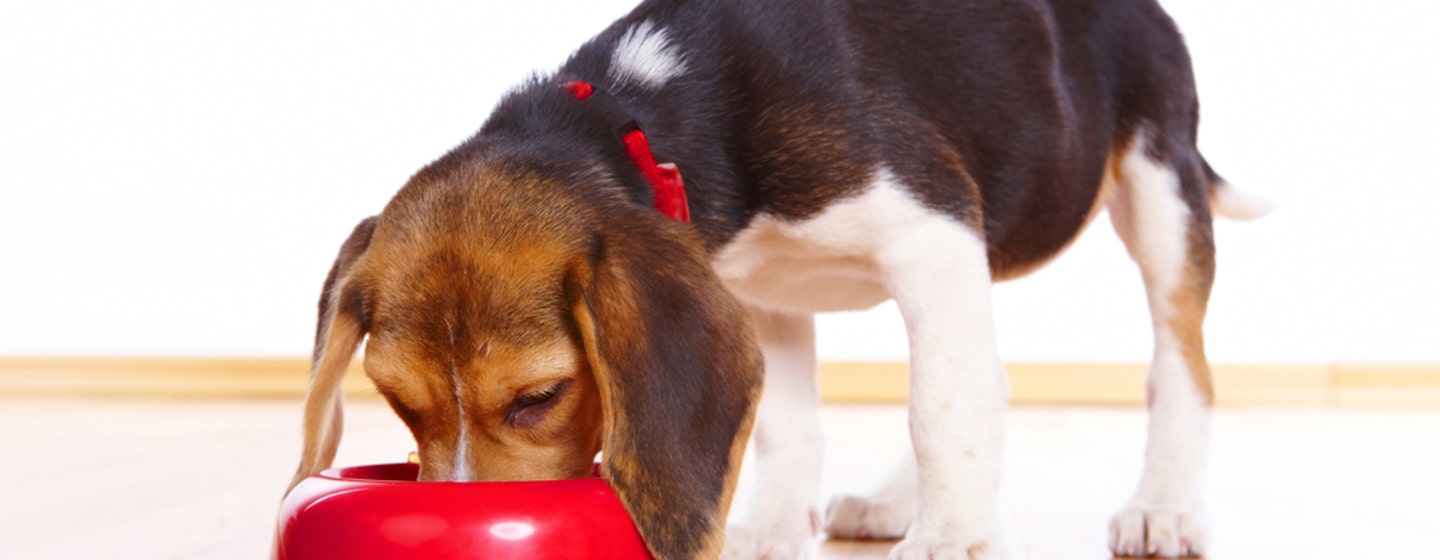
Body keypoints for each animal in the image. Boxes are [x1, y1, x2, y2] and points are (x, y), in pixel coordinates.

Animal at [283, 1, 1272, 558]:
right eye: (399, 402)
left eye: (538, 398)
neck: (635, 113)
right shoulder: (757, 291)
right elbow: (794, 424)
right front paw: (765, 530)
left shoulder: (931, 231)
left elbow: (940, 407)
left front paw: (952, 539)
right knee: (988, 372)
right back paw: (890, 501)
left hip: (1158, 187)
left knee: (1179, 366)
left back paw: (1161, 507)